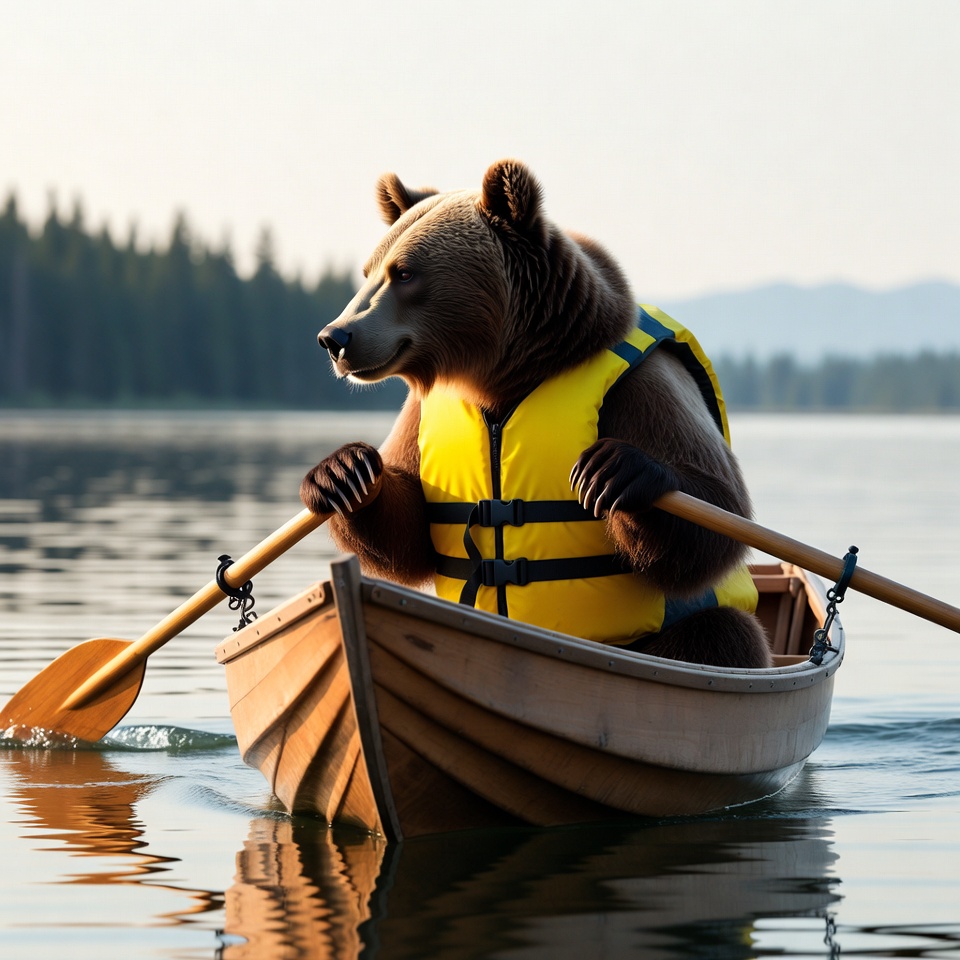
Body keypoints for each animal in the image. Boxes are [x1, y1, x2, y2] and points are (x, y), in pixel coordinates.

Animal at [299, 159, 772, 669]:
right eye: (368, 270)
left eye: (404, 272)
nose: (334, 337)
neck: (506, 371)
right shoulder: (421, 412)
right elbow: (408, 530)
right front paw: (342, 472)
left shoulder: (643, 385)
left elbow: (717, 505)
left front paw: (615, 472)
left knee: (719, 632)